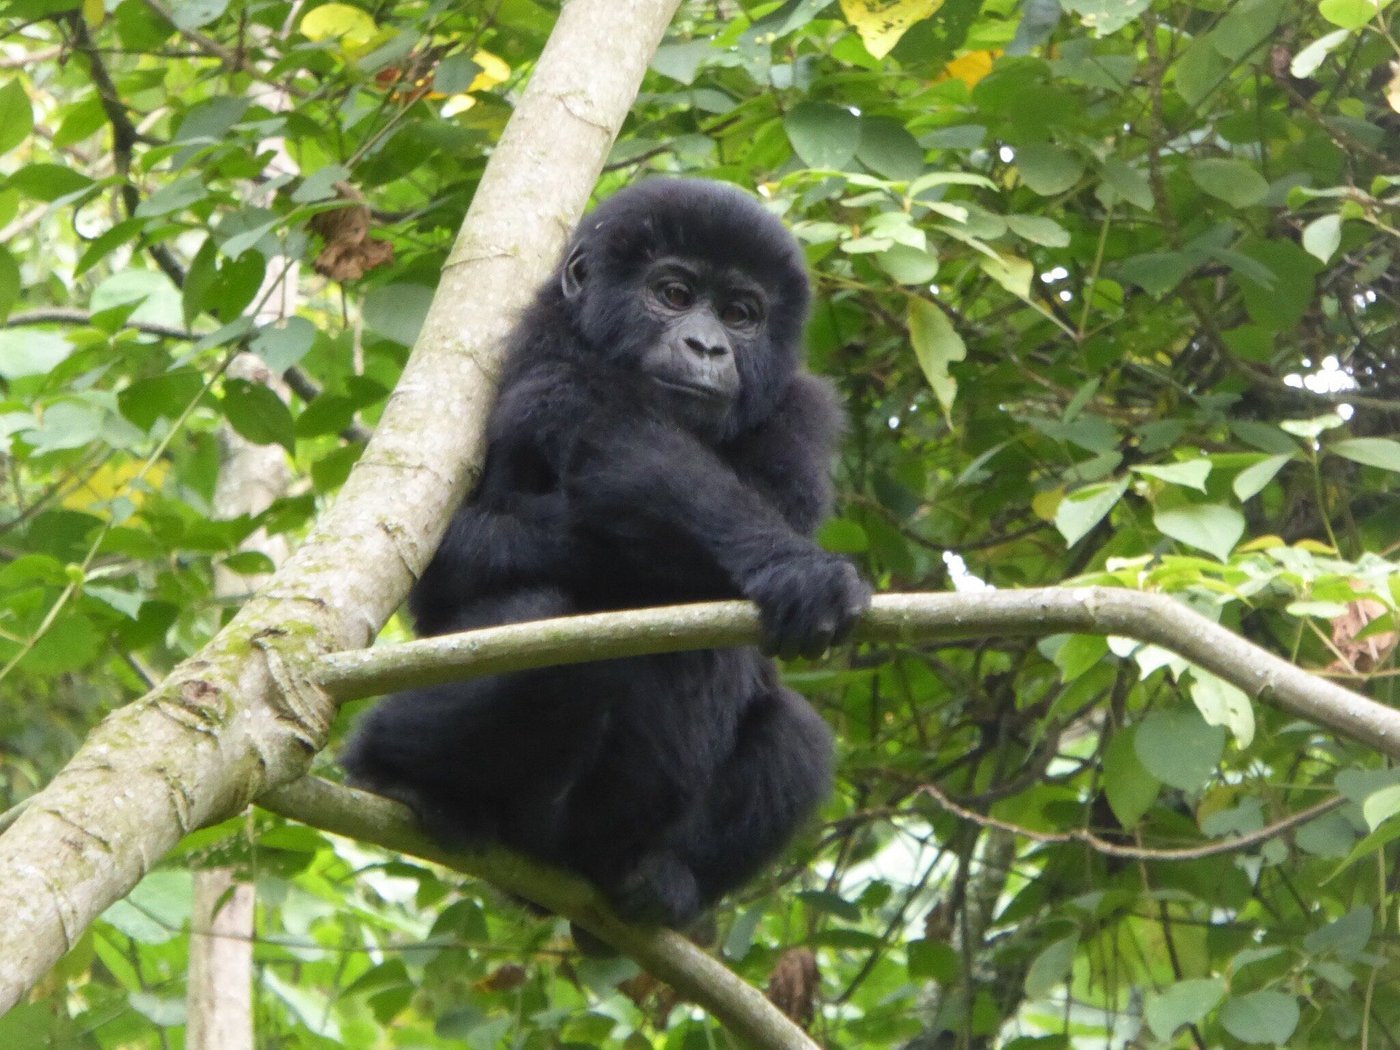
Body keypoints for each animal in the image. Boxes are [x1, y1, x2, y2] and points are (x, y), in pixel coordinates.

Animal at [344, 179, 868, 929]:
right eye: (673, 294)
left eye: (740, 314)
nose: (708, 346)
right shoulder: (549, 355)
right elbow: (608, 466)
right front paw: (794, 569)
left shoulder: (800, 405)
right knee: (542, 634)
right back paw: (402, 775)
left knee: (796, 734)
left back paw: (658, 879)